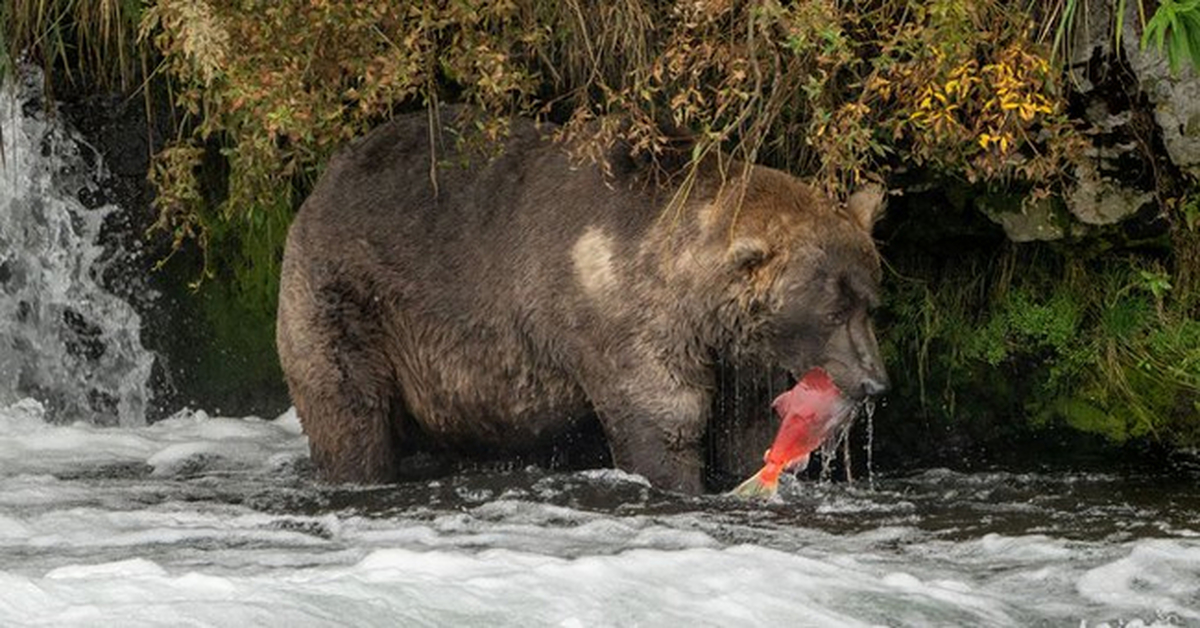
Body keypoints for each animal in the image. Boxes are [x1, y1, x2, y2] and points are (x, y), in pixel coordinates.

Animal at [276, 105, 888, 494]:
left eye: (869, 302)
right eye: (832, 310)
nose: (875, 382)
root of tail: (324, 180)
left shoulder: (737, 349)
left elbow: (746, 426)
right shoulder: (625, 321)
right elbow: (664, 421)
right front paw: (680, 482)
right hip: (350, 298)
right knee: (349, 409)